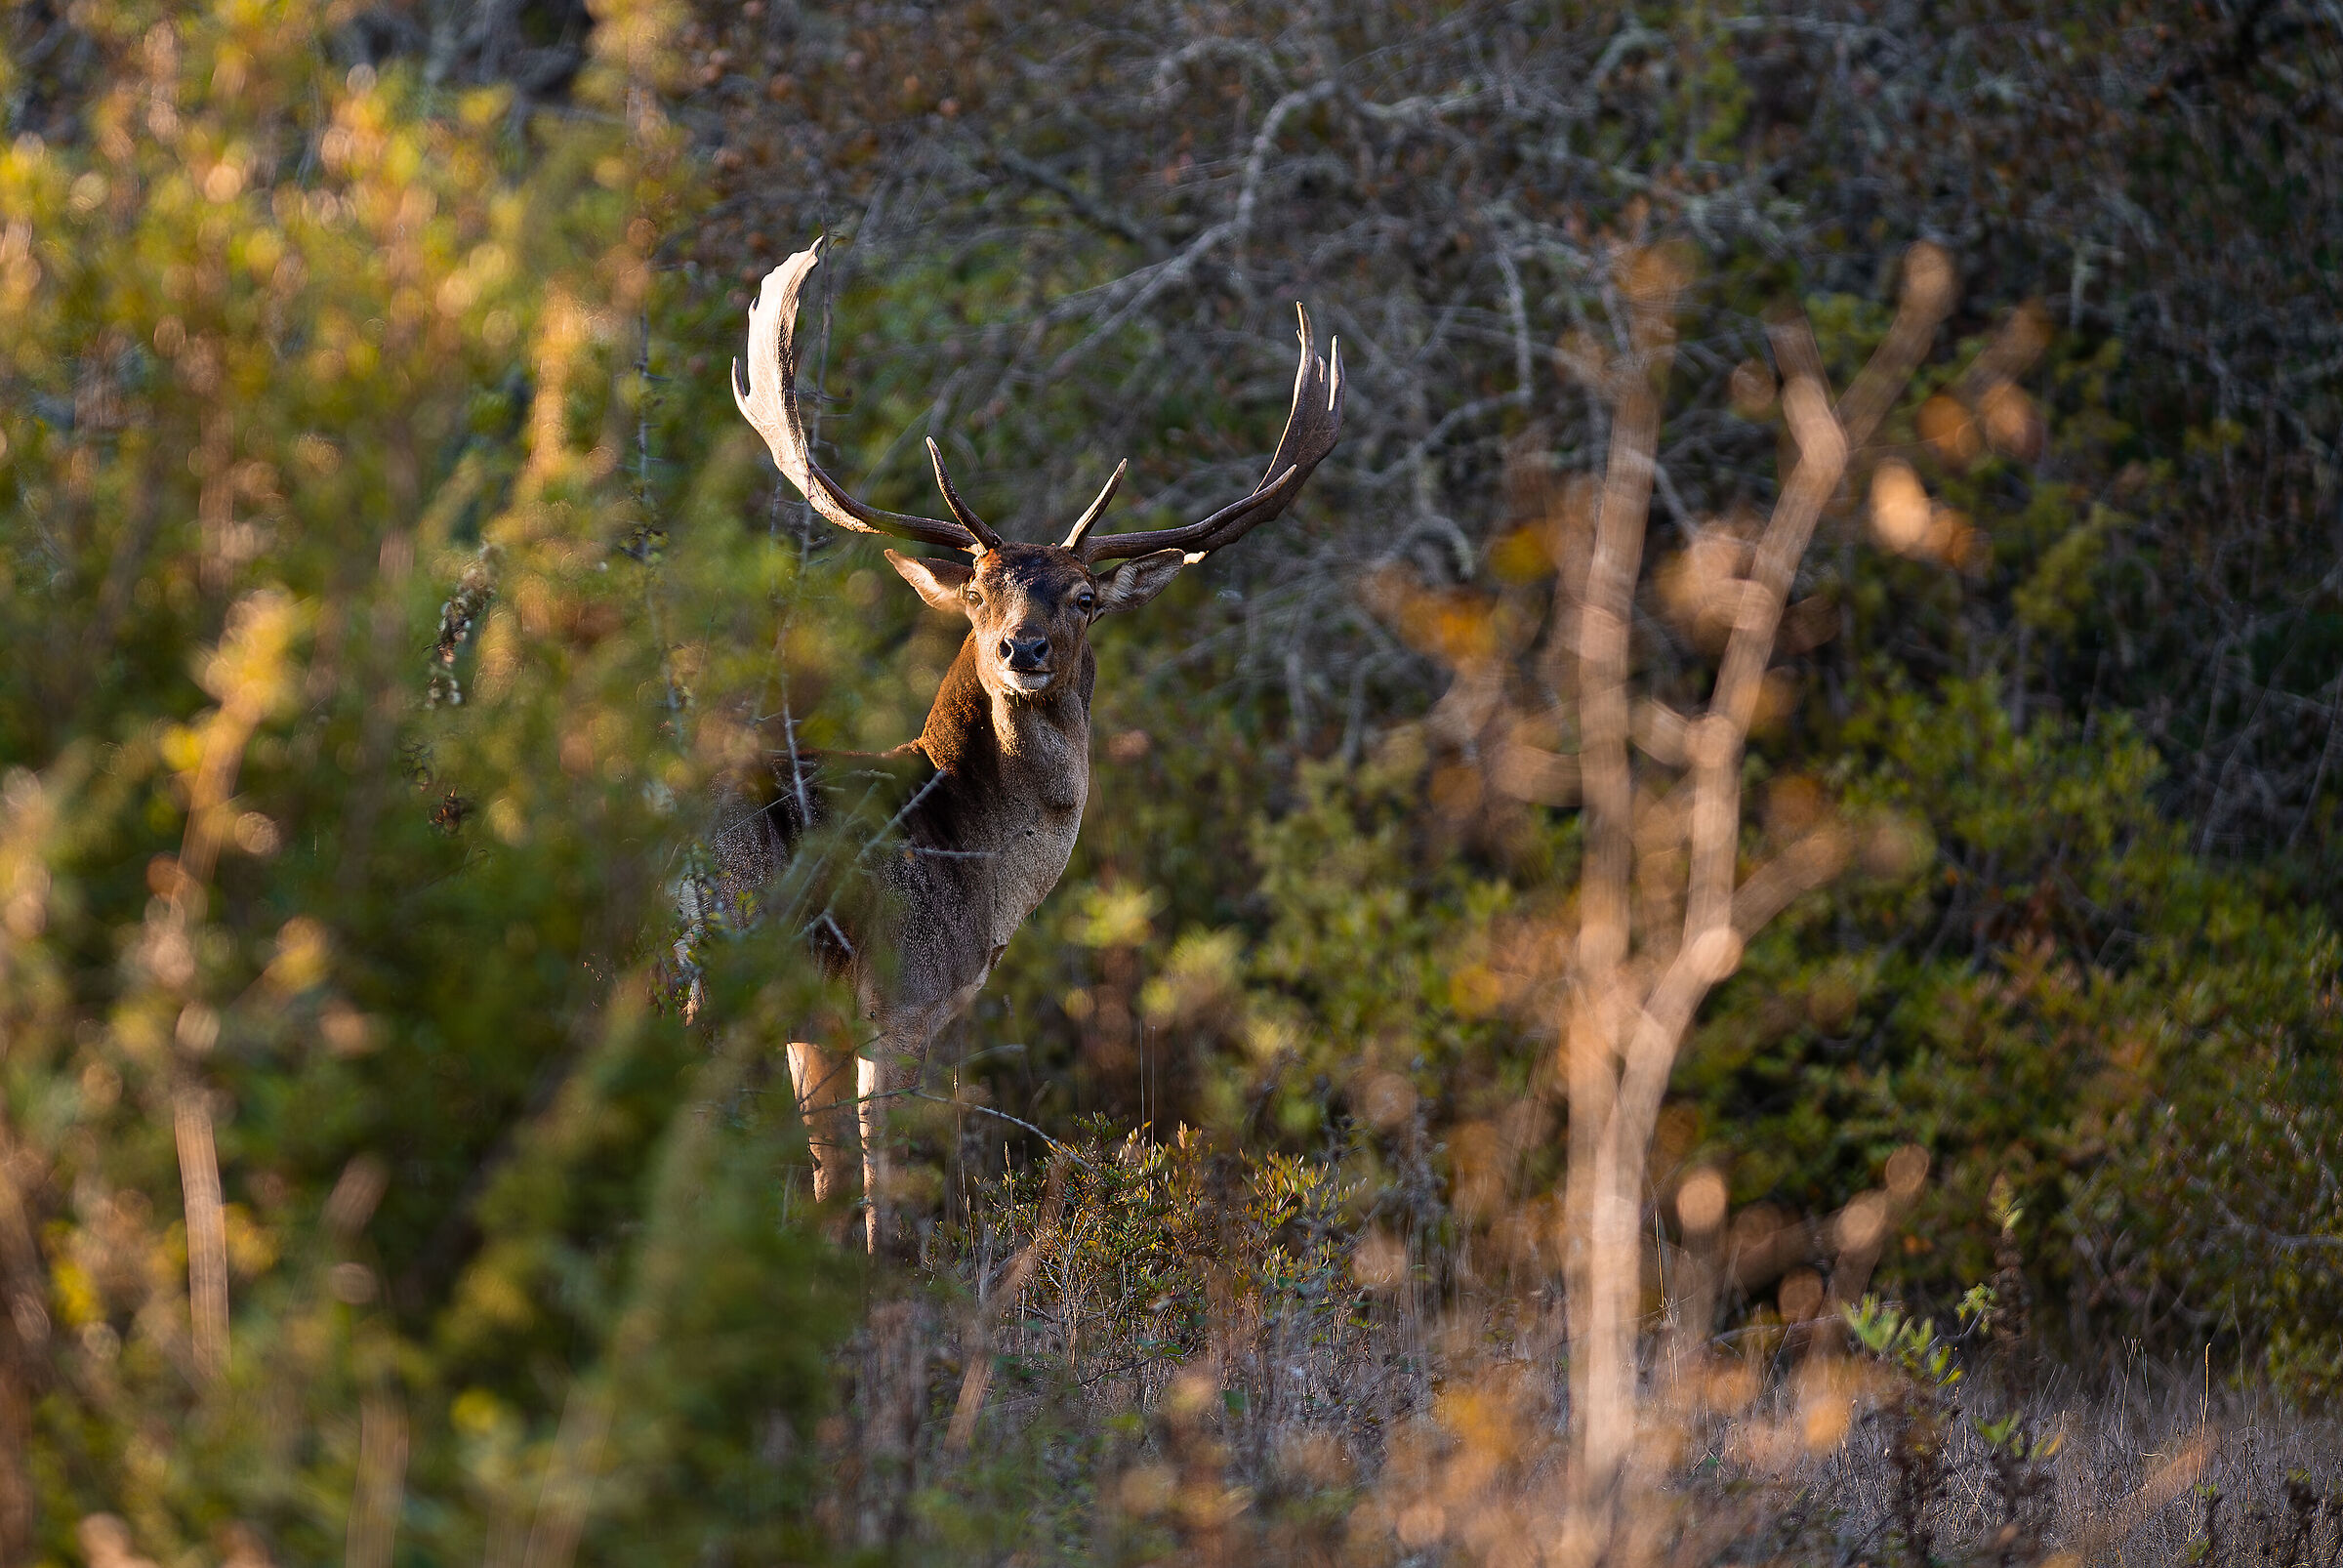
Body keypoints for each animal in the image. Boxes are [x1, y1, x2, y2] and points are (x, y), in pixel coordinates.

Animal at [714, 240, 1343, 1250]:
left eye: (1084, 597)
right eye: (977, 590)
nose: (1023, 648)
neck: (971, 862)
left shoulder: (810, 1025)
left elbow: (824, 1189)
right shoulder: (906, 993)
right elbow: (882, 1197)